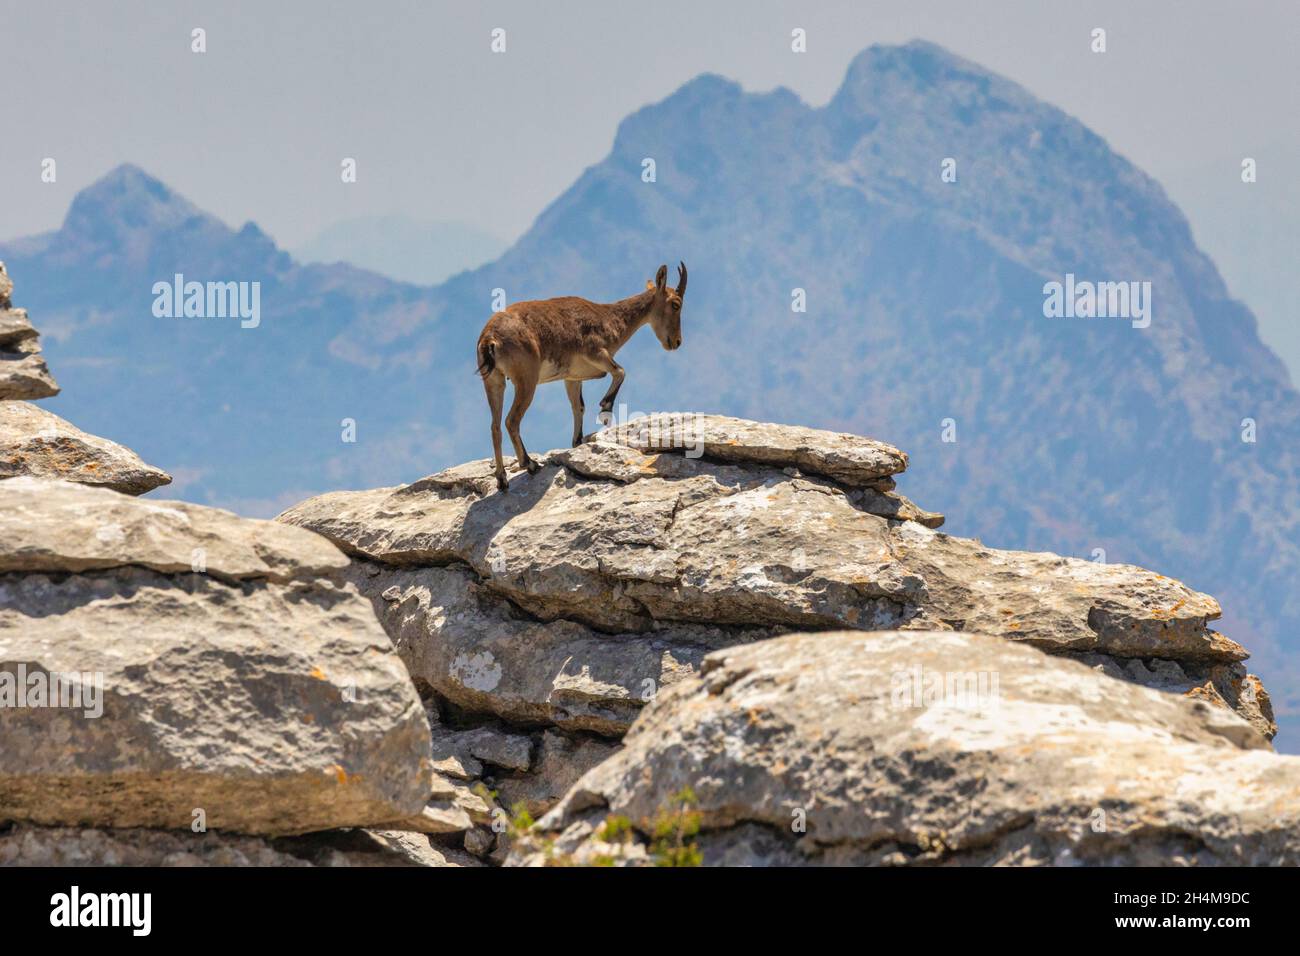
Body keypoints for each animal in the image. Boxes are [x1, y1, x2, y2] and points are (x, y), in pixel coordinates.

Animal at [476, 262, 687, 492]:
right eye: (676, 304)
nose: (676, 342)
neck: (609, 318)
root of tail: (490, 339)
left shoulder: (572, 377)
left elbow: (579, 406)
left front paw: (577, 441)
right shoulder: (596, 352)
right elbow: (620, 371)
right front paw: (605, 410)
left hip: (494, 381)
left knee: (495, 426)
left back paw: (502, 479)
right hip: (526, 380)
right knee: (511, 420)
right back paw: (529, 464)